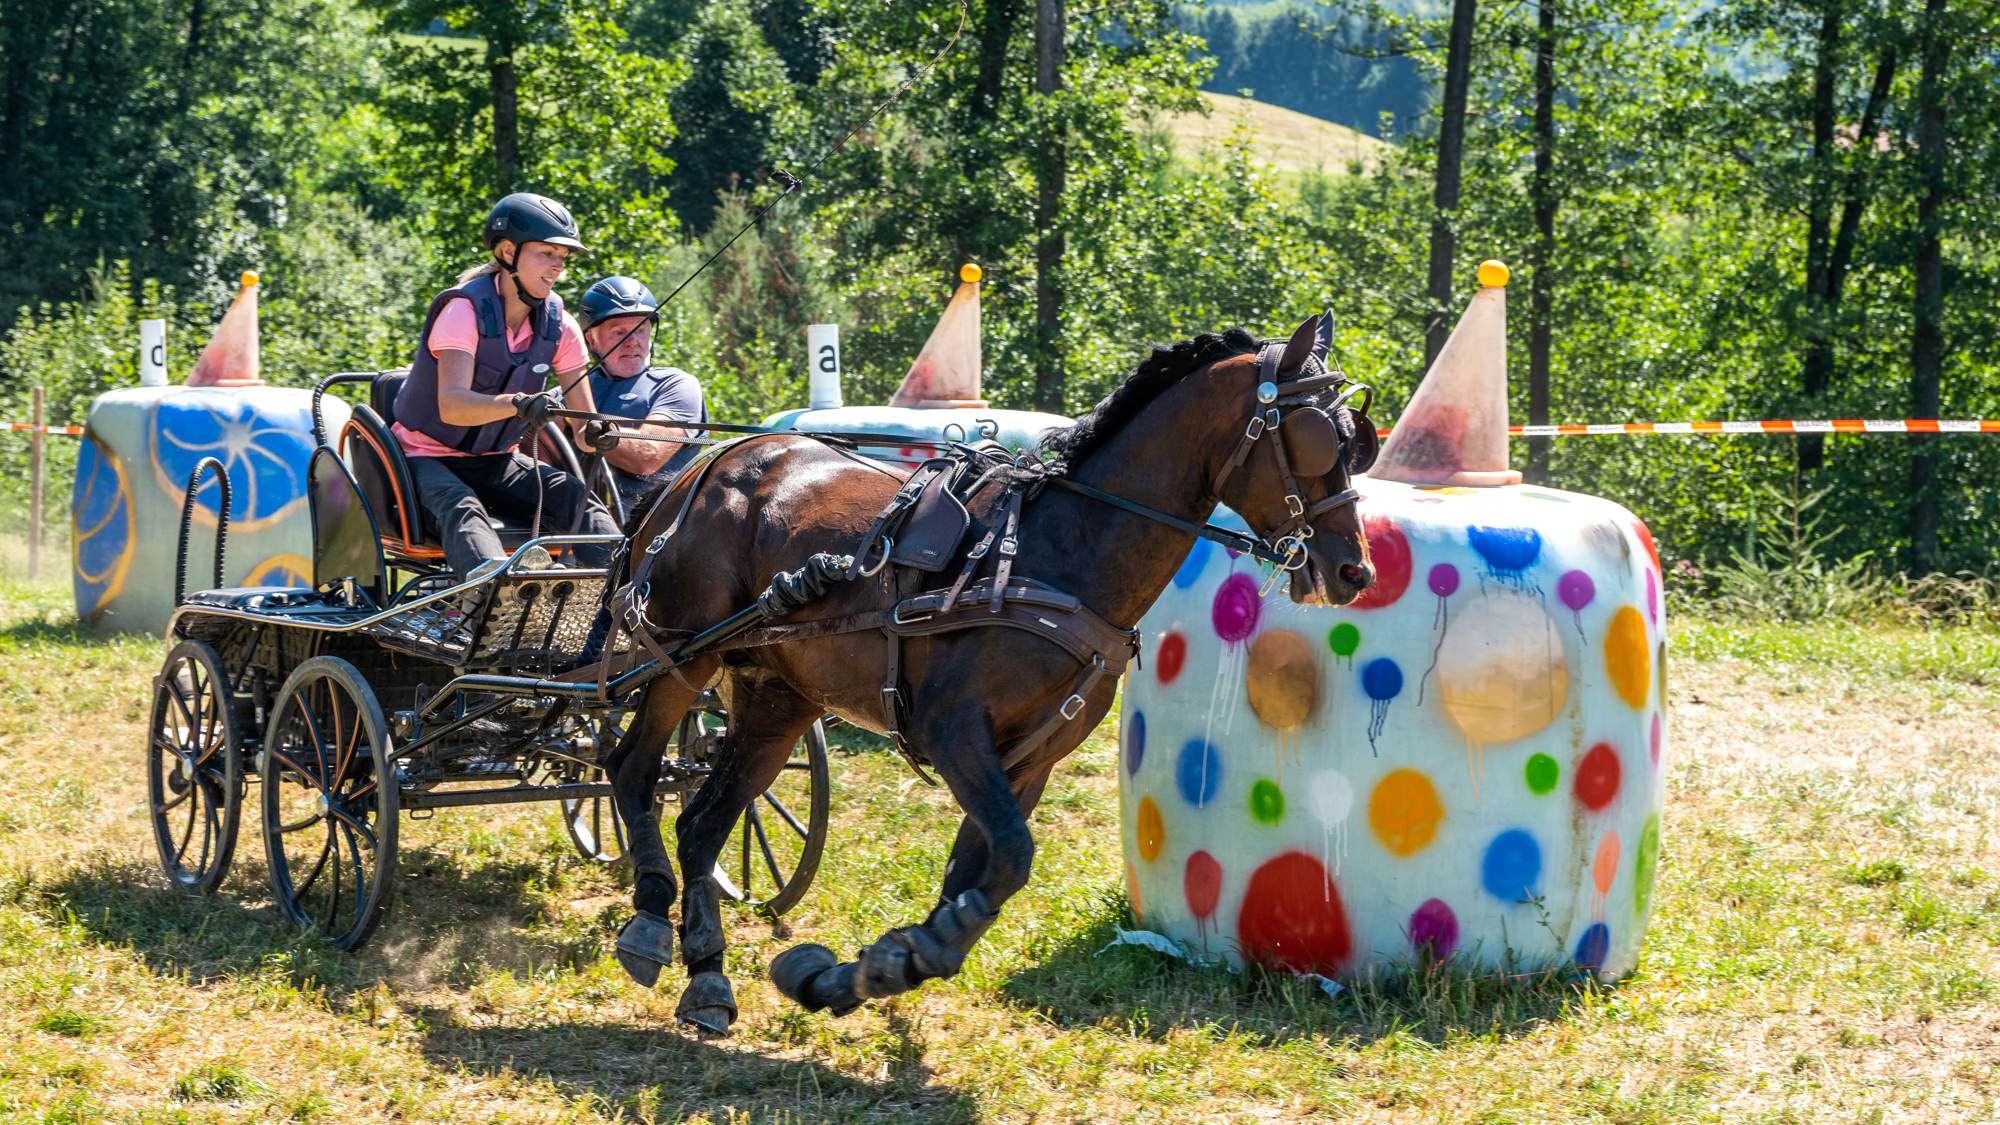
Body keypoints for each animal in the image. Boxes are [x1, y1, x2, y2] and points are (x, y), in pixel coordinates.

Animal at [599, 314, 1378, 1034]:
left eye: (1355, 441)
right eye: (1316, 436)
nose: (1355, 570)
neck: (1058, 553)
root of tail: (698, 468)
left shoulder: (1029, 760)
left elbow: (983, 875)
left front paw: (871, 968)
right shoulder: (953, 732)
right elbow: (1009, 858)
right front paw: (888, 960)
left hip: (777, 698)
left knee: (702, 823)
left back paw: (707, 973)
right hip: (684, 654)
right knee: (632, 767)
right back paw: (650, 914)